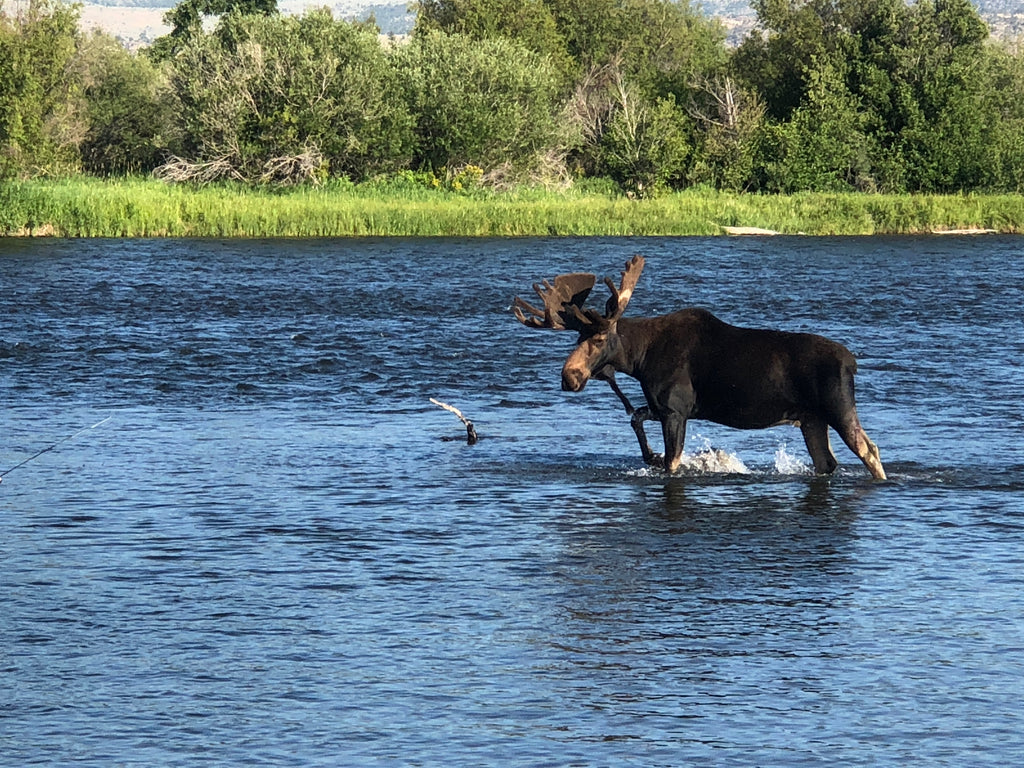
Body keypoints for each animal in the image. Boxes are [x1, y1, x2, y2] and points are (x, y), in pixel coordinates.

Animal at [516, 256, 884, 479]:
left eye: (599, 337)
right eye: (577, 336)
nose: (569, 377)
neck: (639, 360)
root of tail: (852, 362)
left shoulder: (676, 411)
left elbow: (672, 461)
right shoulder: (661, 406)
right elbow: (635, 418)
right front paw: (648, 455)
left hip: (838, 407)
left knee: (870, 449)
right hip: (811, 419)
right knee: (827, 462)